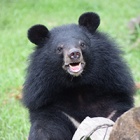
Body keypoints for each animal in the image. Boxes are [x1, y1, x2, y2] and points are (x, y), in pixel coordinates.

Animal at [22, 12, 135, 140]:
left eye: (82, 44)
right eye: (59, 48)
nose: (74, 54)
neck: (78, 86)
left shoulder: (114, 93)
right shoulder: (49, 104)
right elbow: (45, 129)